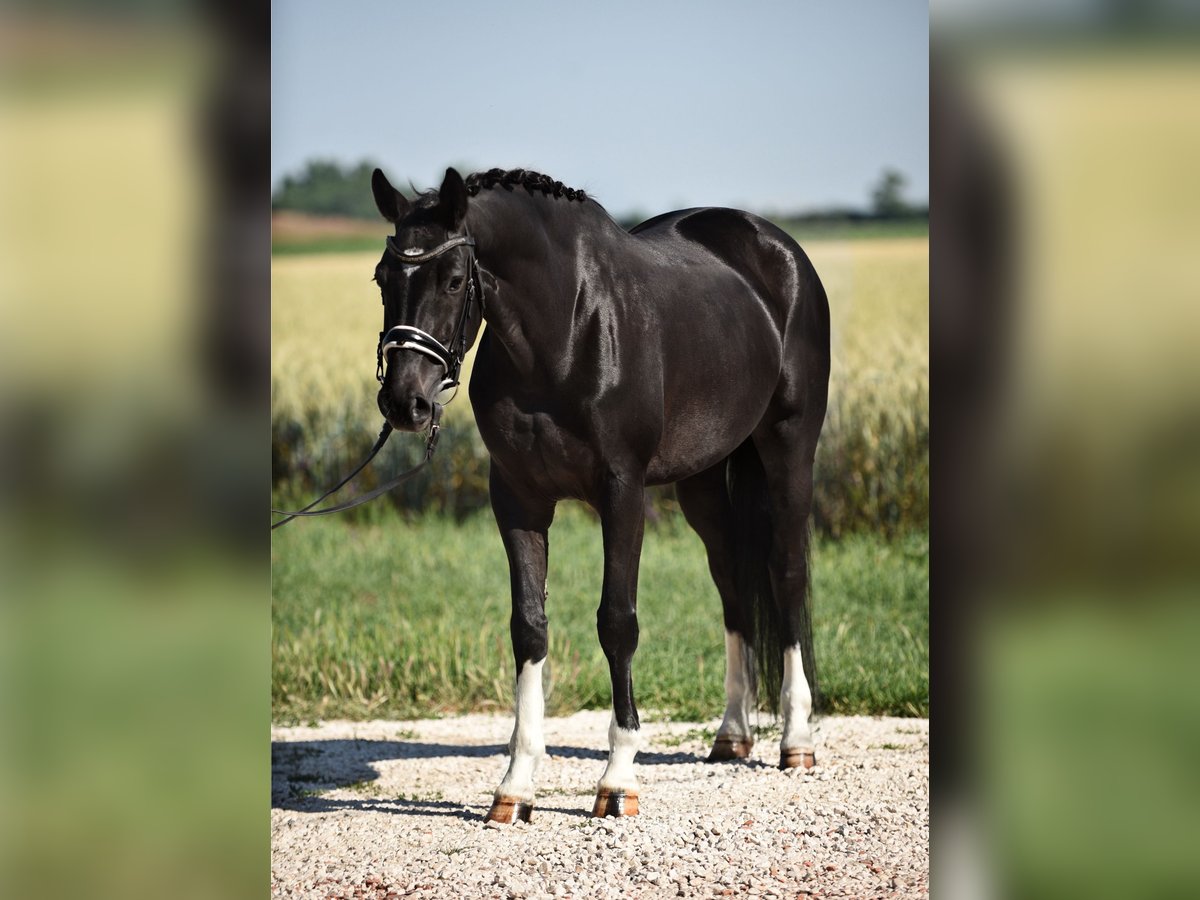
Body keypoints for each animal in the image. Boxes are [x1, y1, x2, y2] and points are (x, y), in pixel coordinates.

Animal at [369, 165, 830, 820]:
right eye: (383, 278)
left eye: (454, 279)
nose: (405, 402)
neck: (564, 332)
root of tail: (777, 249)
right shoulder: (517, 498)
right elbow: (528, 626)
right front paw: (515, 785)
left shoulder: (622, 492)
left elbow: (617, 622)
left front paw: (617, 779)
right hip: (703, 480)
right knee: (733, 585)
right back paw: (732, 735)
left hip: (789, 449)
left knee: (786, 575)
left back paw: (795, 740)